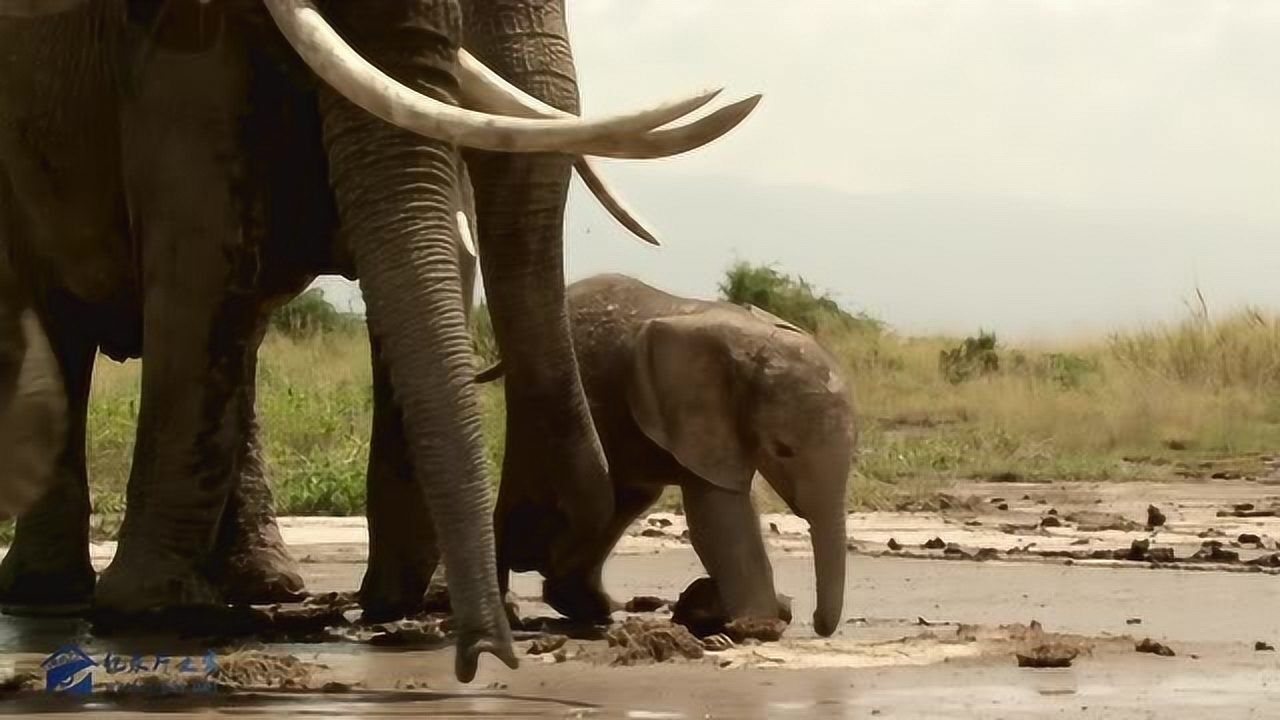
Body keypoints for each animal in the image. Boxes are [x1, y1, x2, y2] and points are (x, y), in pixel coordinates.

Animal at [0, 0, 747, 676]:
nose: (486, 653)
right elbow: (202, 259)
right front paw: (155, 610)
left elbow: (435, 252)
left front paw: (416, 604)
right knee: (65, 323)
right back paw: (57, 595)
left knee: (240, 337)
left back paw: (268, 586)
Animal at [483, 272, 855, 632]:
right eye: (782, 450)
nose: (817, 623)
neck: (755, 346)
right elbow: (718, 516)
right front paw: (759, 625)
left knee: (629, 498)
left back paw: (587, 607)